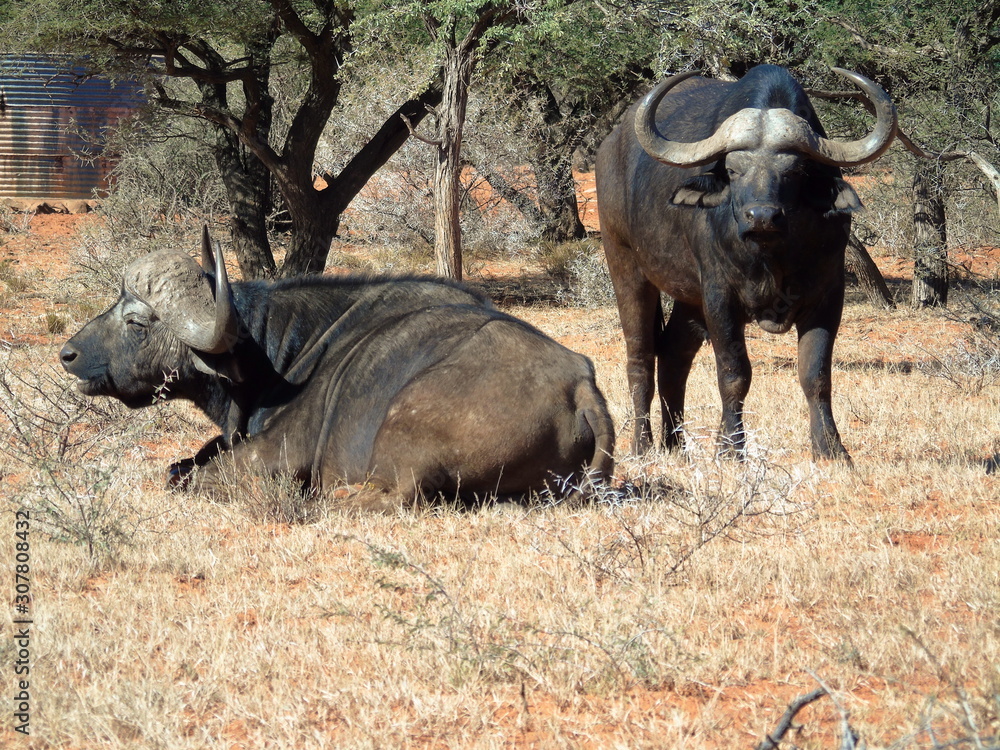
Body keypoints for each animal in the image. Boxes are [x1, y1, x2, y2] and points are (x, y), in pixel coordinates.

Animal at [60, 229, 614, 508]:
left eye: (136, 321)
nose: (68, 354)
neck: (270, 361)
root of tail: (580, 386)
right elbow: (181, 465)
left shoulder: (273, 454)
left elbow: (193, 479)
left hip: (403, 436)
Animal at [595, 64, 896, 459]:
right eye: (734, 169)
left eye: (795, 171)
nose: (762, 216)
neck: (771, 256)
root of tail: (608, 146)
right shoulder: (720, 297)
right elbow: (734, 373)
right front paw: (729, 449)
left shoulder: (828, 295)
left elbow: (816, 374)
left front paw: (831, 449)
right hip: (626, 266)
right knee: (640, 357)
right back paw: (643, 445)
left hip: (689, 298)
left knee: (674, 356)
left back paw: (676, 445)